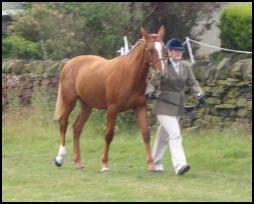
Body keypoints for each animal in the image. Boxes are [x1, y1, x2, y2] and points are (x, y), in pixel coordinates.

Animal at [54, 25, 167, 172]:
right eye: (150, 49)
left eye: (164, 49)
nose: (162, 74)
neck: (129, 74)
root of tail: (69, 64)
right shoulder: (112, 109)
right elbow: (108, 135)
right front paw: (104, 164)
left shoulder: (140, 107)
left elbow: (146, 134)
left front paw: (151, 165)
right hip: (70, 102)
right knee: (63, 123)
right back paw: (59, 158)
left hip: (87, 105)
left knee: (77, 128)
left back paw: (79, 163)